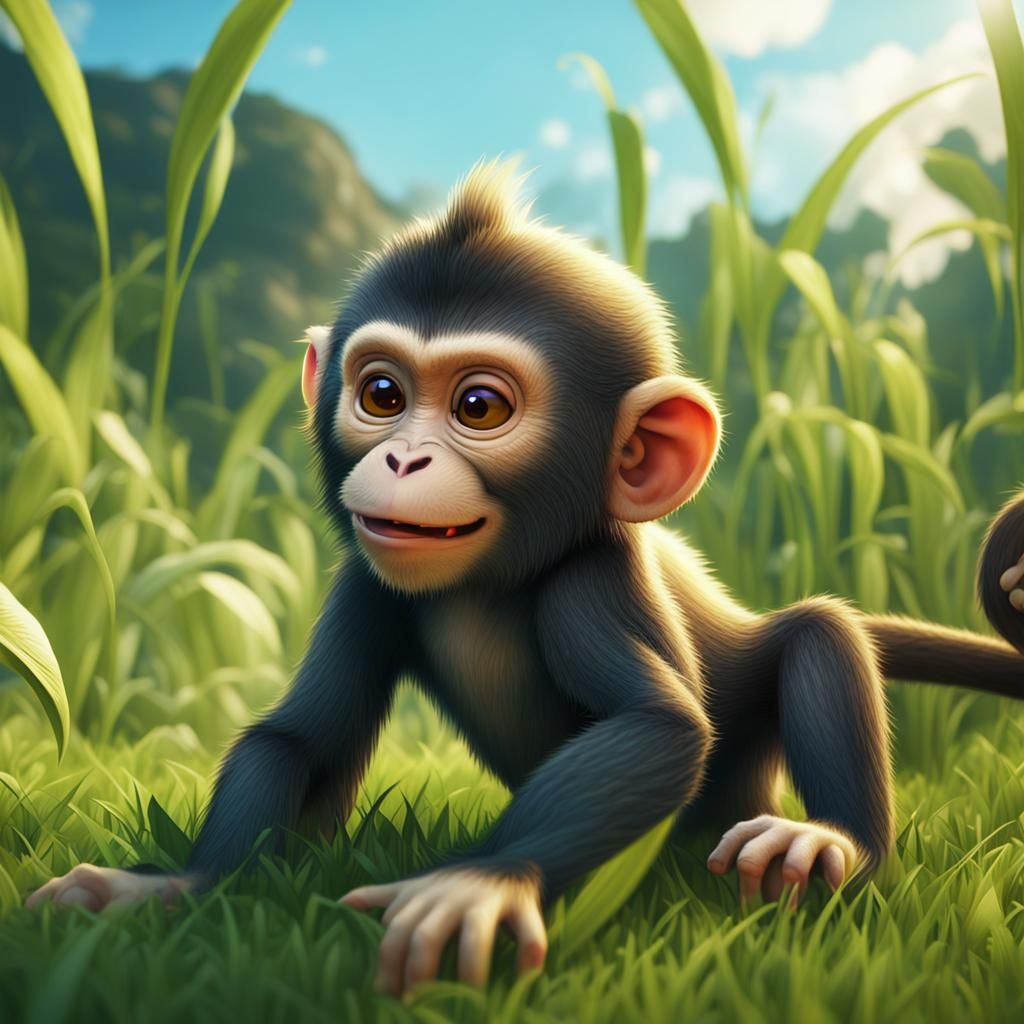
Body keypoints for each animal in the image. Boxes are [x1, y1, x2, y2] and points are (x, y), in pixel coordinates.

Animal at [26, 161, 1024, 997]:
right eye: (381, 394)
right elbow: (298, 737)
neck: (489, 582)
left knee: (818, 635)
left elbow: (655, 728)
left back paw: (835, 841)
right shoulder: (364, 582)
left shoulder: (594, 579)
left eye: (478, 406)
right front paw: (175, 884)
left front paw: (477, 883)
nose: (403, 460)